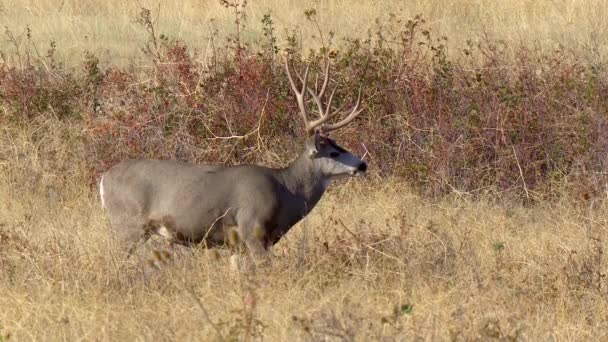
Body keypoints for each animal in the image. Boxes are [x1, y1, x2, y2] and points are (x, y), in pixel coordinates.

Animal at [98, 57, 368, 260]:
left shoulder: (237, 245)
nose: (363, 164)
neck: (286, 189)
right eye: (333, 152)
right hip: (127, 224)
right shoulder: (252, 228)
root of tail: (103, 179)